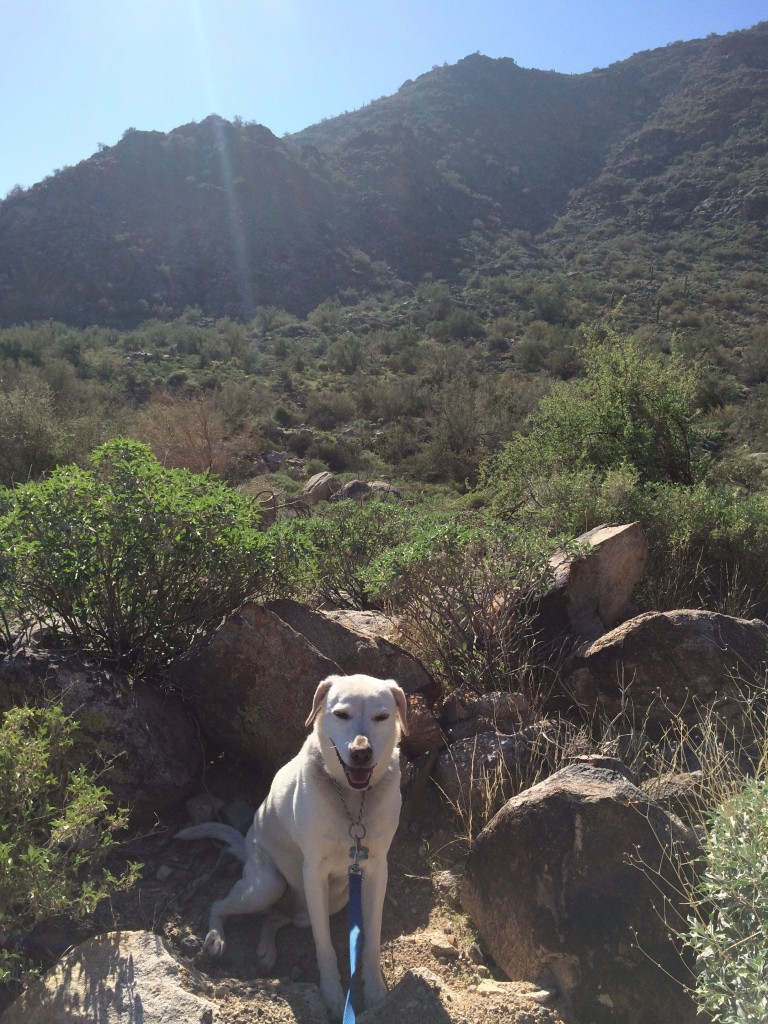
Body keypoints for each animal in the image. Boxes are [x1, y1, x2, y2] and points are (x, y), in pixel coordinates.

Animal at [177, 671, 409, 1015]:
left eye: (382, 717)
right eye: (341, 714)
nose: (361, 752)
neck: (352, 801)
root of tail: (246, 849)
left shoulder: (376, 871)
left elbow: (371, 941)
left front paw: (376, 992)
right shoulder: (313, 873)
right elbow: (324, 946)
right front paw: (333, 994)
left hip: (330, 901)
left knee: (274, 917)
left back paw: (266, 951)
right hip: (267, 885)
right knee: (221, 904)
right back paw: (216, 938)